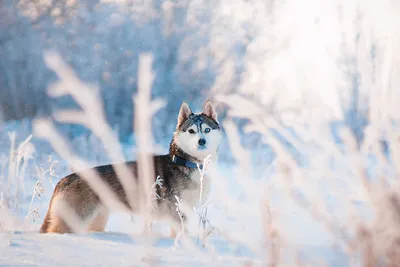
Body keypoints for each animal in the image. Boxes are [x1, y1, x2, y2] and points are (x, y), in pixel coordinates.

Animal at [40, 100, 222, 237]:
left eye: (207, 129)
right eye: (191, 131)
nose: (201, 141)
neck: (189, 163)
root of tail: (64, 180)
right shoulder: (177, 213)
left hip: (98, 219)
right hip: (73, 220)